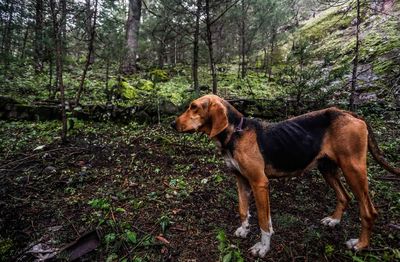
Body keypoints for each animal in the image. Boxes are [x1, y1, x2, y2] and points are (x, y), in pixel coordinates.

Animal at [170, 94, 398, 258]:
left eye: (194, 107)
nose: (172, 125)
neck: (235, 133)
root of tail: (350, 113)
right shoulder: (241, 180)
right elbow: (243, 210)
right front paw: (244, 230)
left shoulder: (259, 183)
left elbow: (264, 221)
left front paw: (263, 248)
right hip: (327, 168)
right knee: (344, 196)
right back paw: (334, 220)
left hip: (353, 169)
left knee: (369, 211)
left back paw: (360, 245)